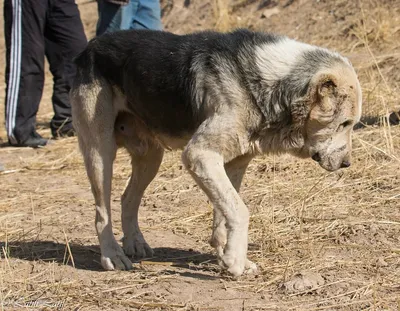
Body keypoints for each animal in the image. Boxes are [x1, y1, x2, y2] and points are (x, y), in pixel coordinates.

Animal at [70, 29, 360, 278]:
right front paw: (234, 261)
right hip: (101, 153)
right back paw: (112, 256)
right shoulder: (199, 155)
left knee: (128, 198)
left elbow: (224, 213)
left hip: (151, 157)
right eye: (344, 124)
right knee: (102, 212)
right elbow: (239, 210)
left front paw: (228, 256)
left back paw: (135, 243)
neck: (266, 83)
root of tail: (89, 46)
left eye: (353, 124)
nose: (347, 164)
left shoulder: (233, 163)